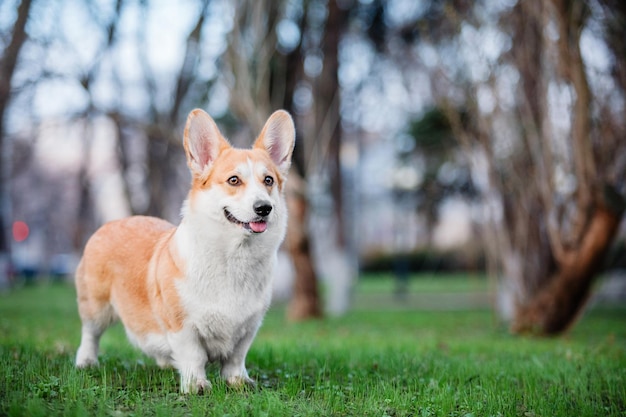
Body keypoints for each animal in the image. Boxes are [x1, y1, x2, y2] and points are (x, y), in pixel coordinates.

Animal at [74, 108, 294, 394]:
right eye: (234, 180)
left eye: (268, 180)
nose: (264, 208)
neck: (234, 257)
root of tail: (114, 221)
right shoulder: (183, 326)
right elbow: (194, 356)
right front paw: (196, 385)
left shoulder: (248, 328)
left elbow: (236, 358)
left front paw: (238, 381)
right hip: (95, 306)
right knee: (90, 334)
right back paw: (85, 361)